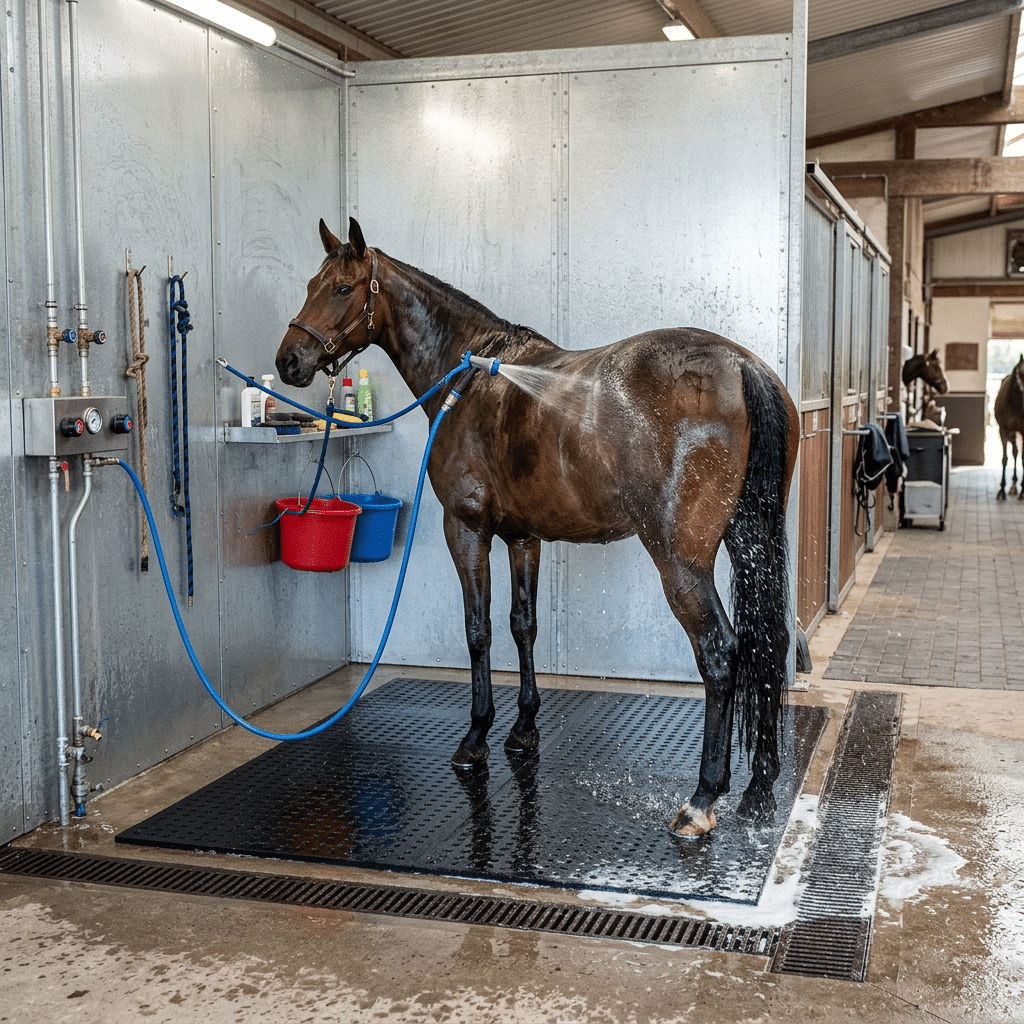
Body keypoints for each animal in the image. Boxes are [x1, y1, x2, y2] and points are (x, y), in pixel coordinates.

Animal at [276, 218, 800, 837]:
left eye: (341, 288)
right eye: (312, 283)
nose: (288, 361)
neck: (472, 376)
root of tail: (741, 365)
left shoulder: (467, 529)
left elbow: (478, 630)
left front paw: (476, 736)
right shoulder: (523, 537)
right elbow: (521, 625)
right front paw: (523, 731)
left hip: (681, 561)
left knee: (720, 653)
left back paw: (702, 799)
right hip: (750, 543)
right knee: (769, 644)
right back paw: (758, 794)